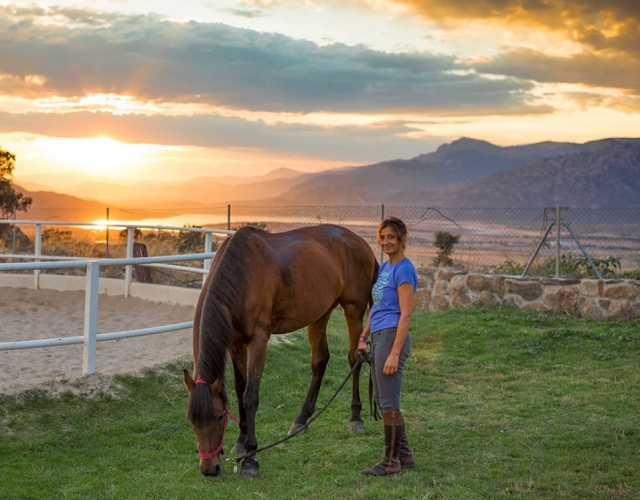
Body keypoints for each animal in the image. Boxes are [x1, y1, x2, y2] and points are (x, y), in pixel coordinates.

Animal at [183, 224, 378, 477]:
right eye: (191, 421)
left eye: (218, 417)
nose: (209, 468)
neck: (242, 274)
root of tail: (362, 243)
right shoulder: (236, 343)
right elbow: (239, 388)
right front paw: (241, 440)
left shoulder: (258, 340)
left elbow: (251, 396)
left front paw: (251, 457)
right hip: (319, 312)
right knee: (320, 361)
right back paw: (301, 420)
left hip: (353, 309)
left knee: (355, 359)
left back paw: (355, 418)